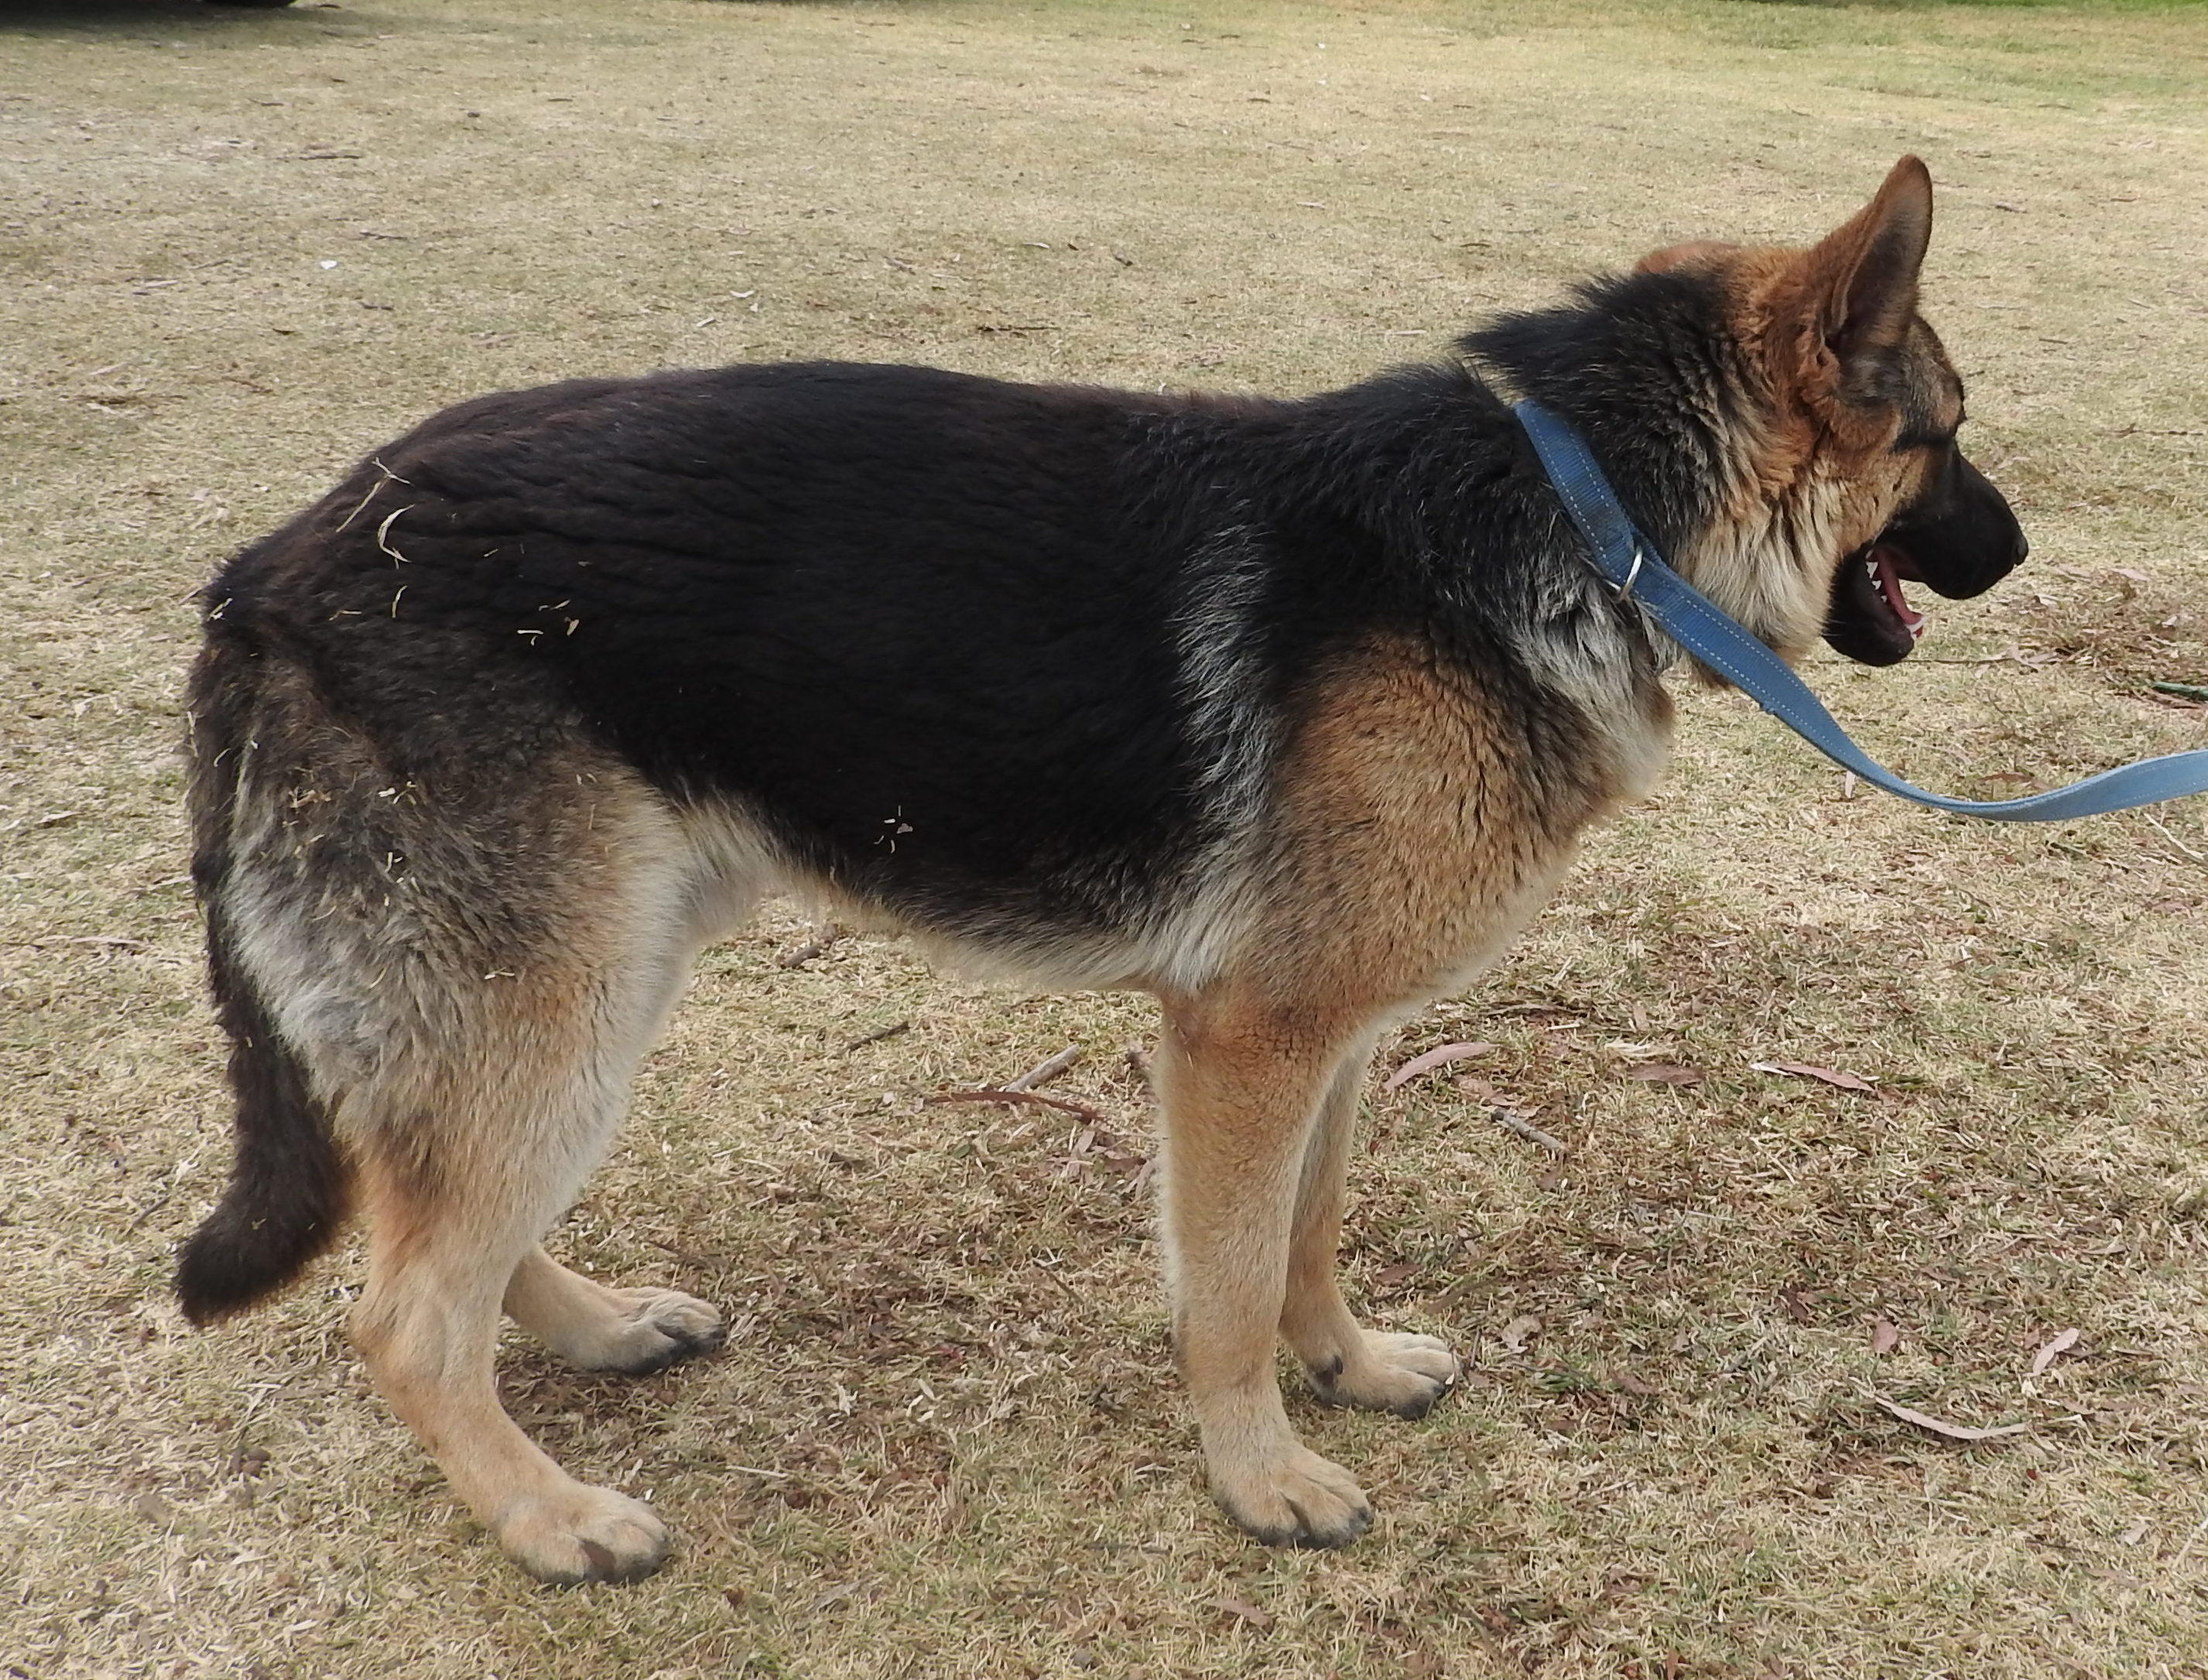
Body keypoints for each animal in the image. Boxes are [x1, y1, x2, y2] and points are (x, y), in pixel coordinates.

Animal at [176, 156, 2026, 1583]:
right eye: (1943, 436)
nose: (2018, 553)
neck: (1585, 515)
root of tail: (275, 562)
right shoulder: (1240, 1044)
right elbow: (1224, 1283)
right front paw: (1260, 1475)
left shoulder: (1327, 1037)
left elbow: (1309, 1233)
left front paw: (1345, 1364)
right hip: (553, 993)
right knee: (403, 1311)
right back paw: (550, 1514)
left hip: (590, 981)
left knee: (437, 1226)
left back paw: (593, 1327)